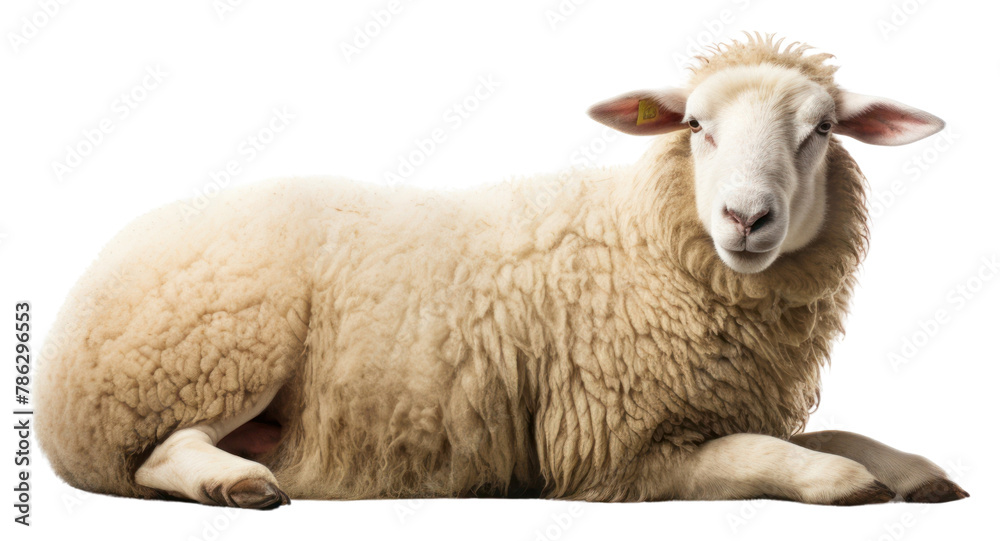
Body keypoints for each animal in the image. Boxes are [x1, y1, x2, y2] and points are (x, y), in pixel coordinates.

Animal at [36, 34, 969, 508]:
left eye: (821, 130)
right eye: (696, 125)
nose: (747, 218)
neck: (644, 241)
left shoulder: (707, 406)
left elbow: (830, 431)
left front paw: (910, 468)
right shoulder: (613, 451)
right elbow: (764, 455)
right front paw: (845, 483)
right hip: (210, 352)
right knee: (156, 454)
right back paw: (236, 483)